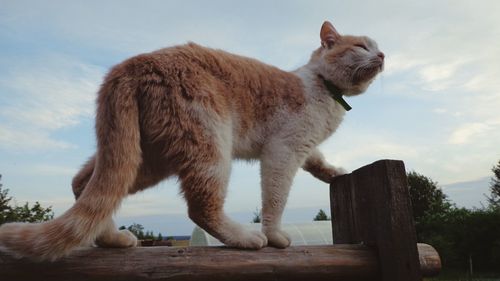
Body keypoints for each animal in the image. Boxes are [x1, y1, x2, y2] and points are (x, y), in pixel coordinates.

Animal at [0, 20, 384, 260]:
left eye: (377, 48)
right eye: (361, 46)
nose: (382, 56)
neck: (324, 88)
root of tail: (131, 63)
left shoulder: (303, 147)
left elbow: (317, 162)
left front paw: (335, 173)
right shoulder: (282, 151)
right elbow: (275, 199)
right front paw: (275, 235)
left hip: (145, 158)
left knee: (85, 184)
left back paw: (112, 239)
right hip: (210, 145)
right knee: (200, 207)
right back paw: (245, 237)